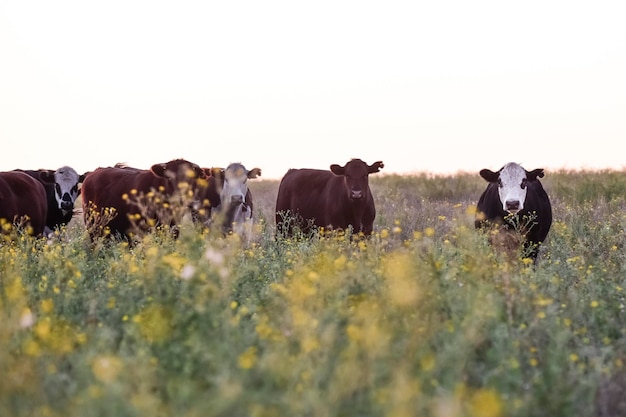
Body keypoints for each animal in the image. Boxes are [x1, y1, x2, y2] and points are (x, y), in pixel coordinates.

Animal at [79, 157, 207, 240]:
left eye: (190, 178)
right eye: (169, 178)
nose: (179, 196)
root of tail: (93, 172)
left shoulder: (174, 226)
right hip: (92, 226)